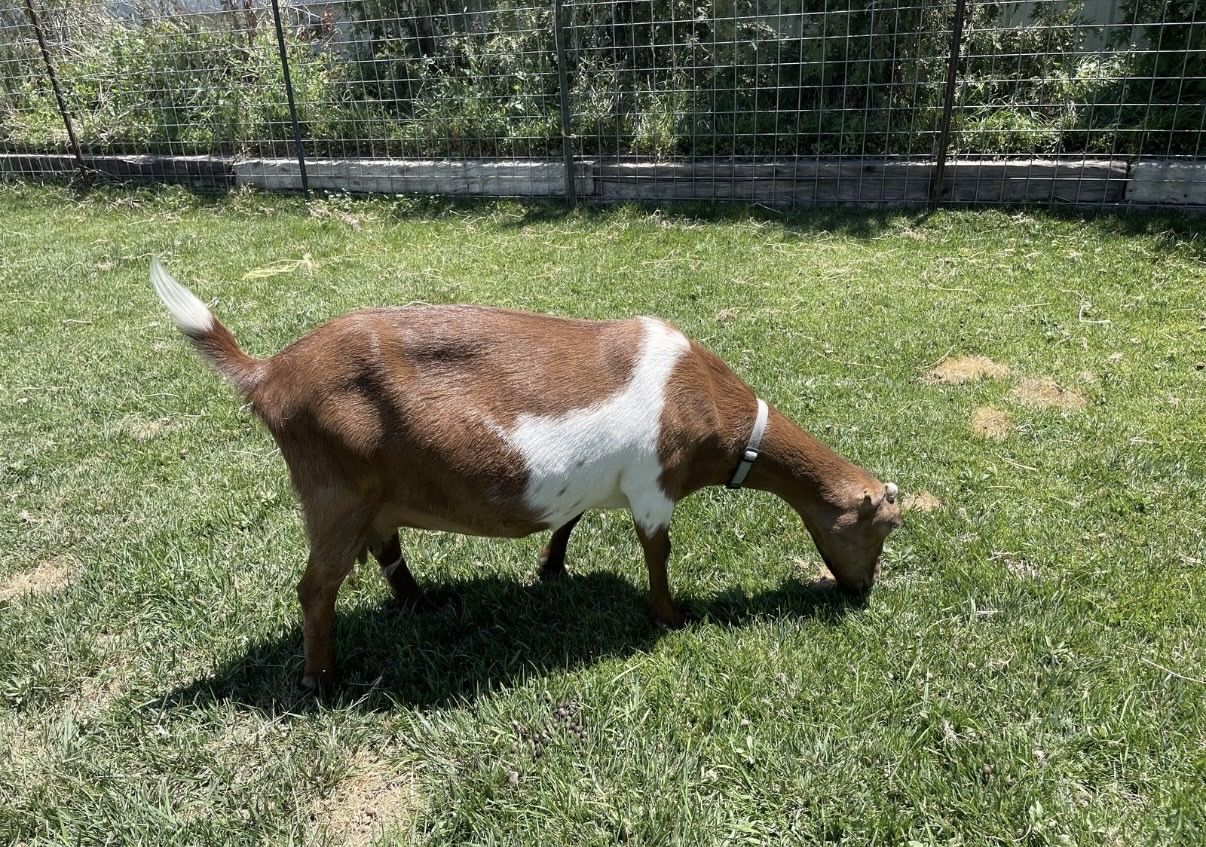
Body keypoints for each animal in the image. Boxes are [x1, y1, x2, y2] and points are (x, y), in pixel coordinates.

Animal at [151, 259, 901, 688]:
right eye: (880, 528)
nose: (861, 590)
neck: (706, 398)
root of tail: (270, 374)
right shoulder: (654, 487)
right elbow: (657, 551)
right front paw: (669, 616)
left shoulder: (598, 480)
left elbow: (569, 518)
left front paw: (552, 567)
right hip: (335, 493)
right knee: (315, 588)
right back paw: (322, 679)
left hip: (373, 495)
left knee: (385, 548)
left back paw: (422, 602)